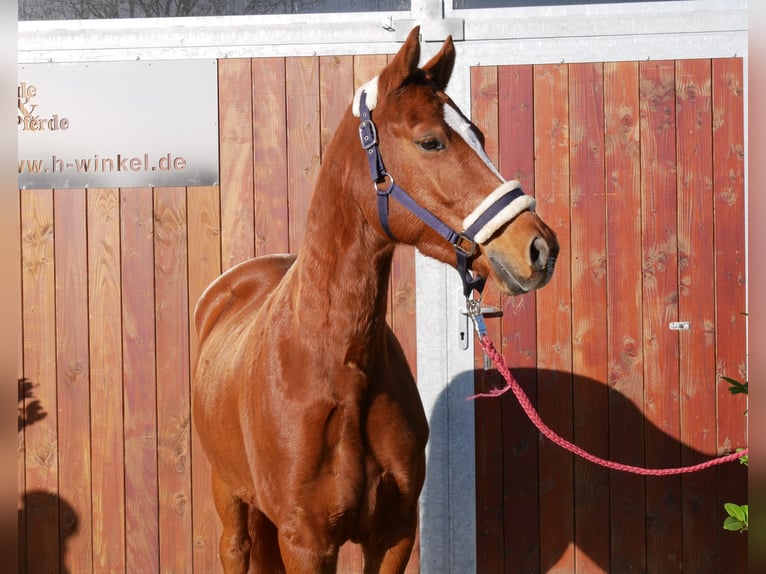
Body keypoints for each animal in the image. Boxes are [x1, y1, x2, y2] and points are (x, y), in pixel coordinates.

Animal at [194, 28, 560, 574]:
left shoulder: (394, 535)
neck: (338, 368)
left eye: (479, 136)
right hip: (230, 502)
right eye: (430, 141)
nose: (540, 247)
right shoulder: (307, 543)